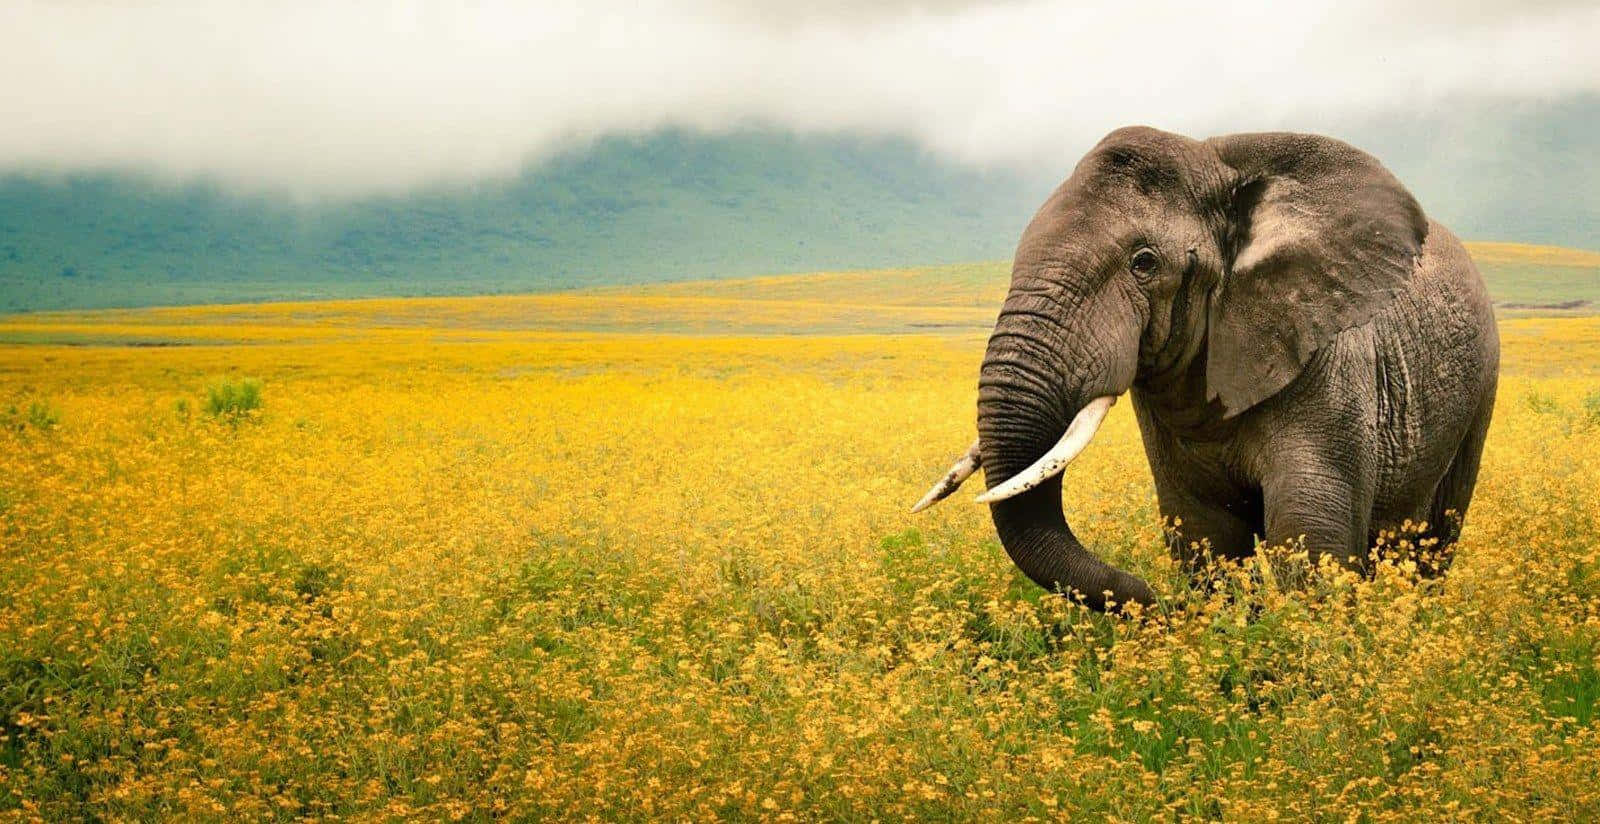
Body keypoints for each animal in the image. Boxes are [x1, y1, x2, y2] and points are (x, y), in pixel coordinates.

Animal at [913, 126, 1500, 613]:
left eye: (1144, 264)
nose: (1151, 600)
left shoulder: (1330, 360)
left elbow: (1310, 537)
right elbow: (1205, 534)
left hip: (1480, 391)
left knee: (1434, 540)